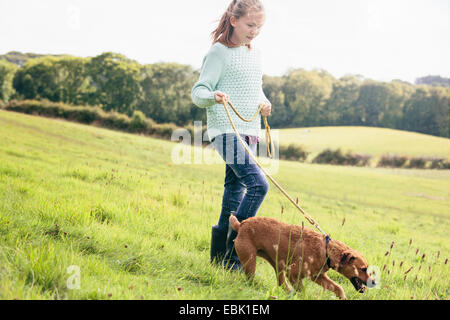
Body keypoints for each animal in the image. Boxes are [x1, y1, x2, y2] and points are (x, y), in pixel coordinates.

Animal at [229, 215, 372, 300]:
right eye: (363, 269)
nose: (374, 283)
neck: (327, 250)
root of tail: (241, 224)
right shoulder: (293, 273)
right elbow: (303, 292)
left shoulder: (318, 277)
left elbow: (338, 287)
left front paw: (343, 297)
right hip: (250, 262)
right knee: (251, 279)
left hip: (278, 264)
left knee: (281, 283)